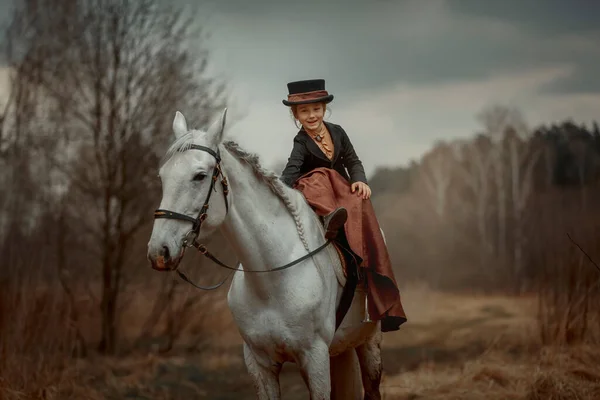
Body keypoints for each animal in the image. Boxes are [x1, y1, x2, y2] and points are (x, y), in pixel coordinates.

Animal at [148, 108, 386, 398]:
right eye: (162, 177)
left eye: (200, 176)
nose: (159, 251)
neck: (271, 278)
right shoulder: (259, 364)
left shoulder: (315, 358)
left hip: (369, 343)